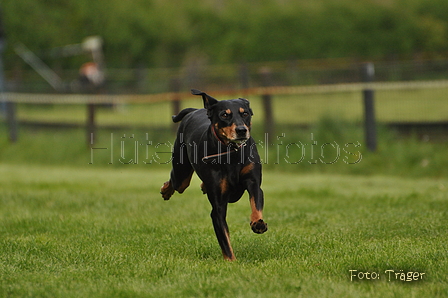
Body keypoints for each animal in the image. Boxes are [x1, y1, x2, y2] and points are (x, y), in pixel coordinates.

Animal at [160, 89, 268, 260]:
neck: (231, 153)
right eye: (224, 115)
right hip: (181, 172)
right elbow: (224, 237)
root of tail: (194, 111)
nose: (241, 130)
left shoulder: (253, 181)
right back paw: (165, 190)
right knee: (177, 182)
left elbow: (256, 201)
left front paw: (258, 223)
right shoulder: (218, 204)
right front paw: (231, 260)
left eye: (245, 113)